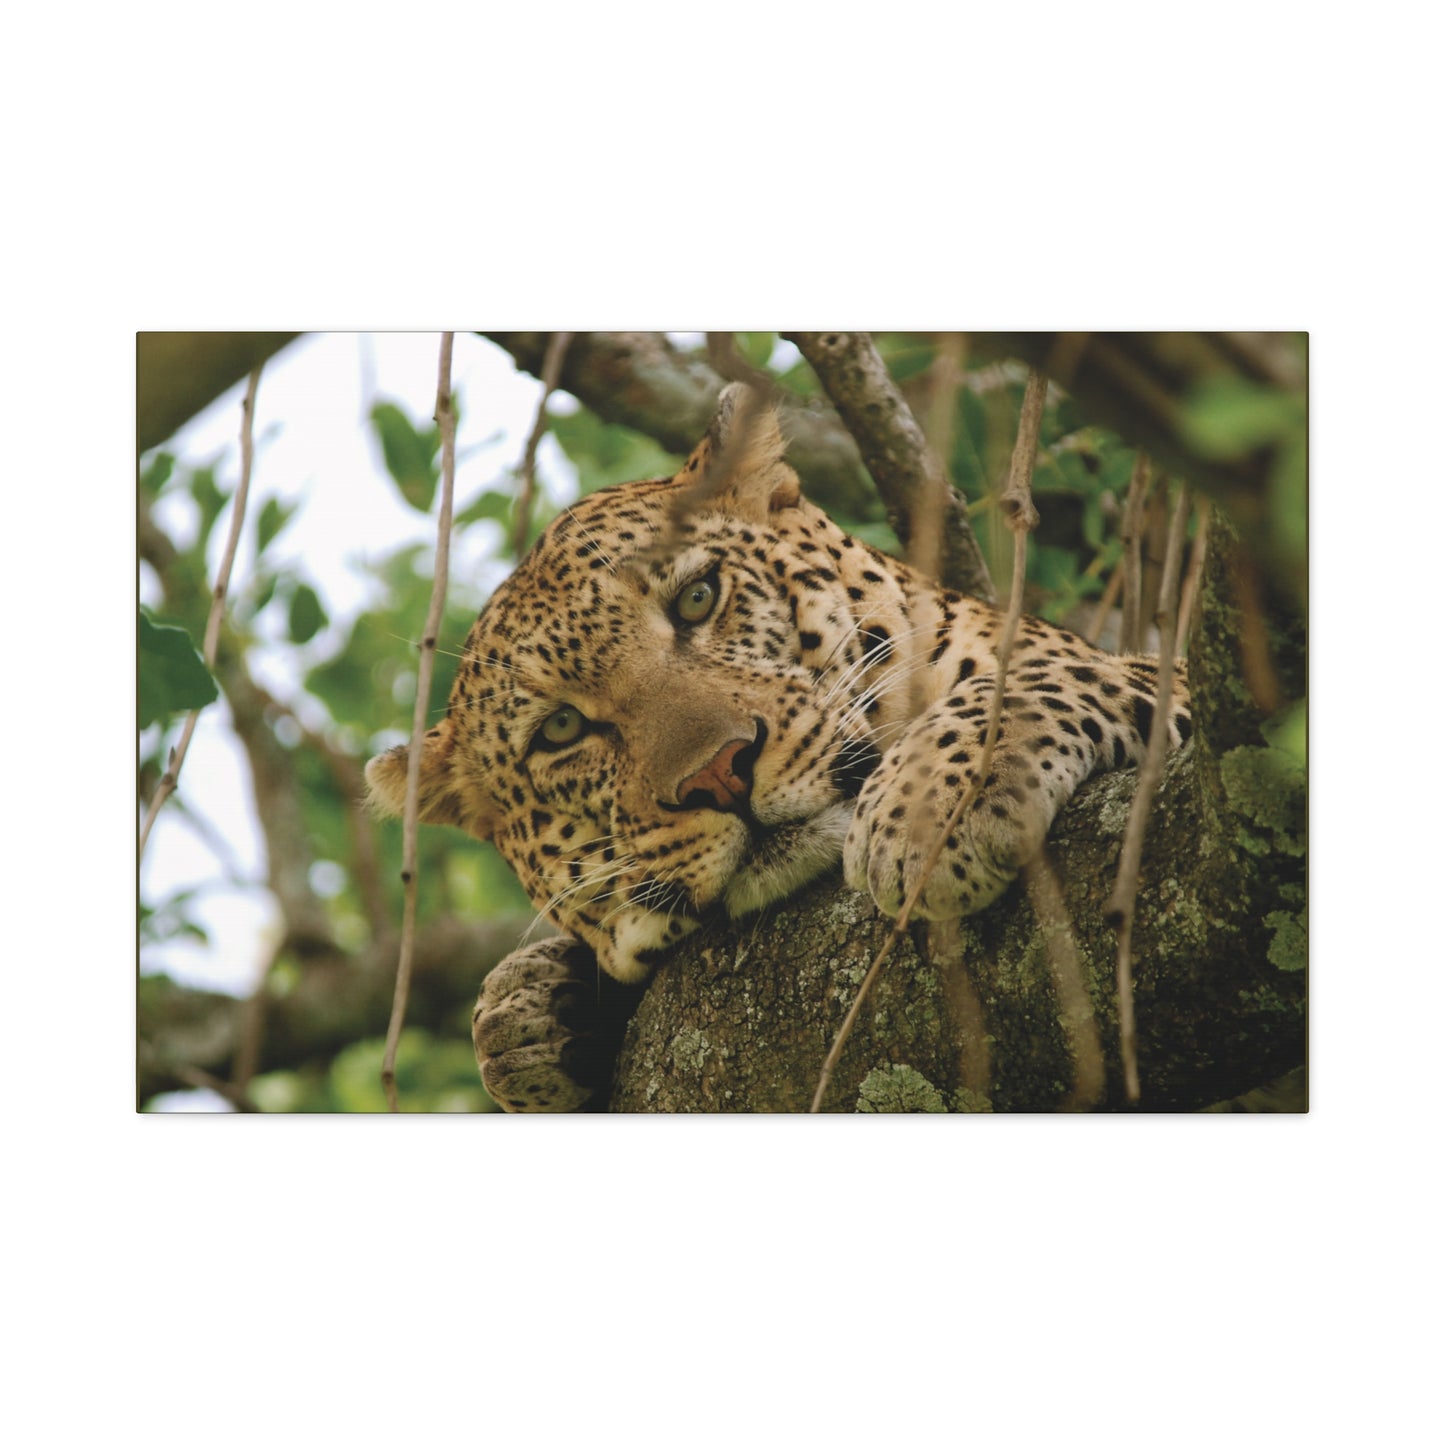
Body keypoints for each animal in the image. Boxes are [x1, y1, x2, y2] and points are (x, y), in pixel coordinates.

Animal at [366, 384, 1192, 1111]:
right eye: (560, 730)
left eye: (697, 598)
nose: (718, 773)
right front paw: (531, 1016)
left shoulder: (1174, 677)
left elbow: (1038, 675)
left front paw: (926, 811)